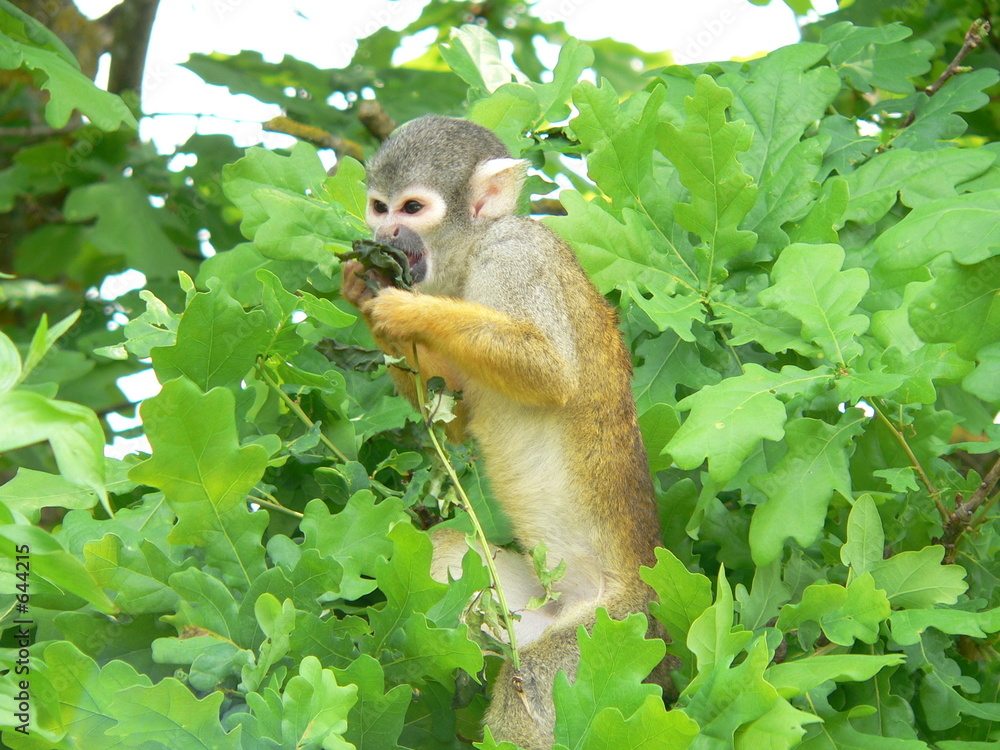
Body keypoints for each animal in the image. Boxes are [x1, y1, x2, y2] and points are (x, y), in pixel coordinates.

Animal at [340, 116, 674, 749]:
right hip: (516, 611)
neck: (472, 252)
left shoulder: (518, 251)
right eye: (378, 206)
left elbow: (549, 371)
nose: (386, 231)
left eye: (412, 208)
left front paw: (402, 311)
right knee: (446, 555)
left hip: (608, 638)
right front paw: (362, 291)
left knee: (535, 689)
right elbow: (455, 420)